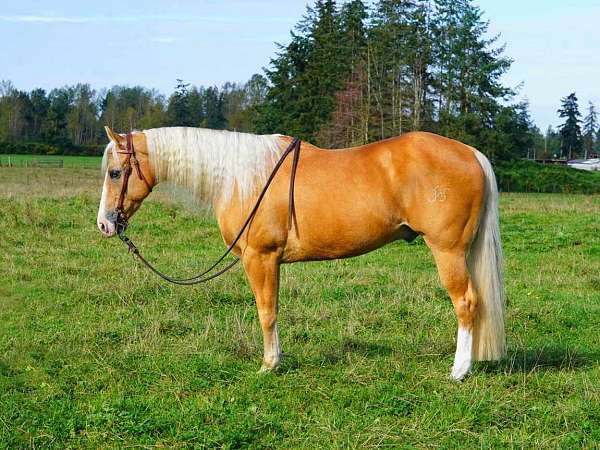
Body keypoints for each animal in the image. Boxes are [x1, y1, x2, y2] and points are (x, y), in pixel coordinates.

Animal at [96, 126, 504, 380]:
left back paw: (459, 371)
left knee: (466, 303)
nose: (104, 224)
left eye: (115, 173)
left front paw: (269, 364)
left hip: (448, 251)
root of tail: (471, 153)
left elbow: (267, 312)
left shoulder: (260, 257)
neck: (243, 177)